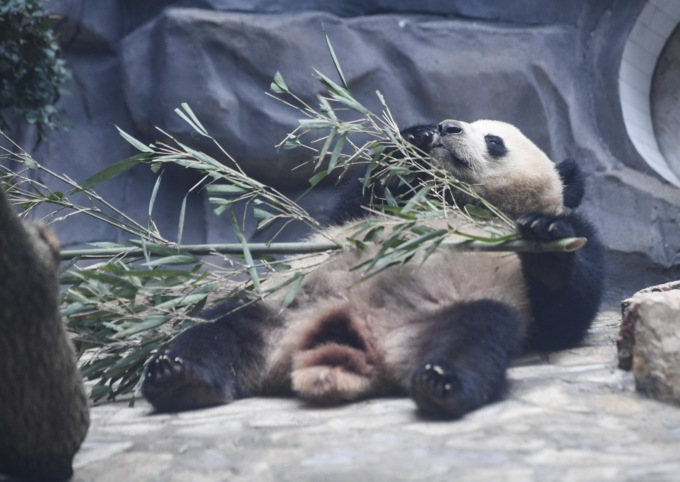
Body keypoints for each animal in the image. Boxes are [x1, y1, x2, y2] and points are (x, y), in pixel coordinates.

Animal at [141, 119, 605, 418]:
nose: (448, 128)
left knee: (477, 333)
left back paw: (442, 383)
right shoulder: (370, 211)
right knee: (219, 329)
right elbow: (360, 196)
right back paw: (179, 377)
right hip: (282, 306)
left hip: (444, 311)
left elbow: (565, 311)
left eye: (494, 139)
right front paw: (414, 138)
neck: (459, 200)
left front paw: (544, 235)